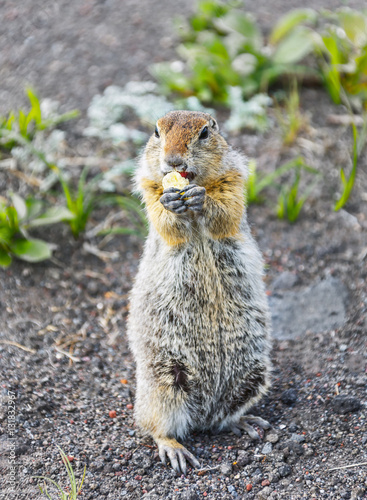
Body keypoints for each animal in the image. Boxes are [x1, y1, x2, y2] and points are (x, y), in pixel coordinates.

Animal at [128, 111, 272, 474]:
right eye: (156, 131)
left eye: (205, 132)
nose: (173, 161)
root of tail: (202, 415)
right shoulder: (148, 186)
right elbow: (164, 219)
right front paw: (171, 201)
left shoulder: (235, 177)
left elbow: (227, 210)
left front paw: (202, 198)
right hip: (163, 383)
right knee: (155, 427)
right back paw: (175, 450)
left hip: (252, 372)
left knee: (221, 419)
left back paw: (244, 422)